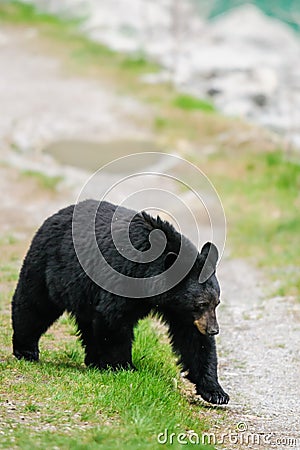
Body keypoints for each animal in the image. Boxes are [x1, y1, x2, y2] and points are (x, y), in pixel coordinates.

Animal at [10, 200, 229, 404]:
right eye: (200, 304)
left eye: (216, 303)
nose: (214, 330)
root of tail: (55, 215)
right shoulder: (122, 276)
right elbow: (113, 319)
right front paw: (124, 366)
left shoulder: (180, 310)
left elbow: (193, 339)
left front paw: (216, 392)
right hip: (47, 266)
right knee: (33, 304)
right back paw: (26, 349)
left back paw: (93, 360)